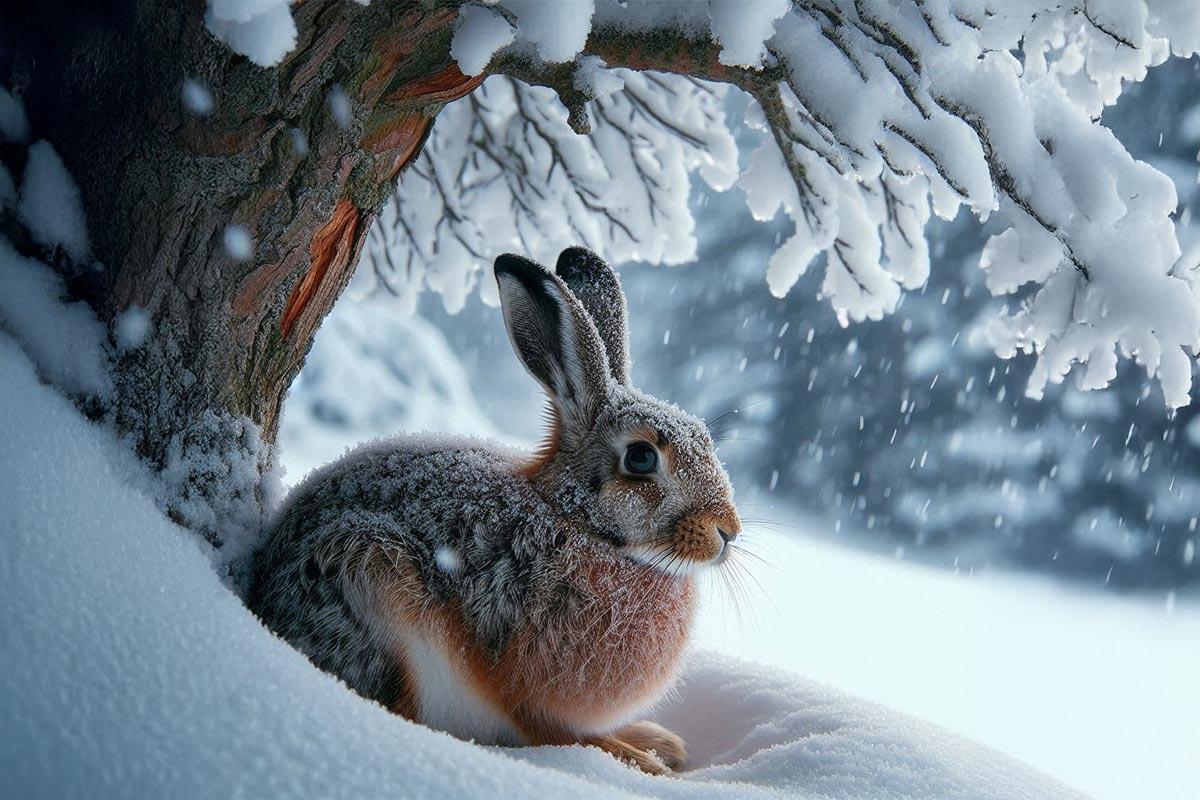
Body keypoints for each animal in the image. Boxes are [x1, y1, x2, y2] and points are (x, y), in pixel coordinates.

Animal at [248, 246, 742, 774]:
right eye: (642, 457)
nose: (728, 530)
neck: (578, 522)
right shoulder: (528, 689)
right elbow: (554, 732)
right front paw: (636, 757)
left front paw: (657, 743)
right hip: (364, 575)